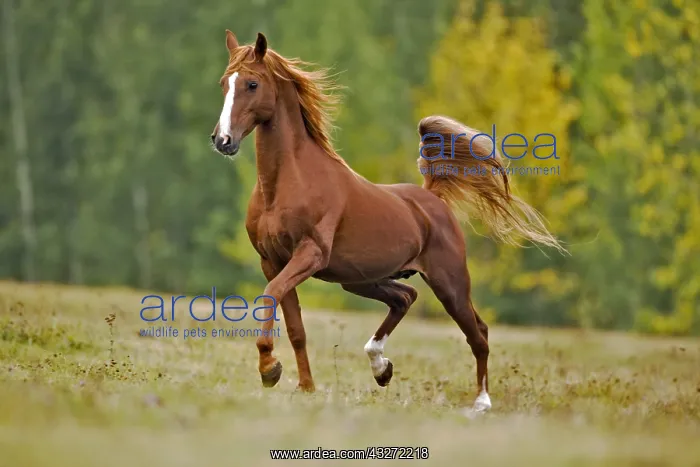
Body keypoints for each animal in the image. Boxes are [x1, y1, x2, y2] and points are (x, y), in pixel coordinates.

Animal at [210, 30, 567, 413]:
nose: (222, 140)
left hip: (449, 282)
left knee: (478, 333)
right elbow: (295, 327)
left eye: (252, 84)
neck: (287, 184)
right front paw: (303, 387)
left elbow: (270, 295)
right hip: (360, 279)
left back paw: (481, 403)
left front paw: (269, 369)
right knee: (405, 297)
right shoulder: (273, 261)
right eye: (224, 84)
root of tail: (431, 197)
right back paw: (381, 368)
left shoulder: (309, 254)